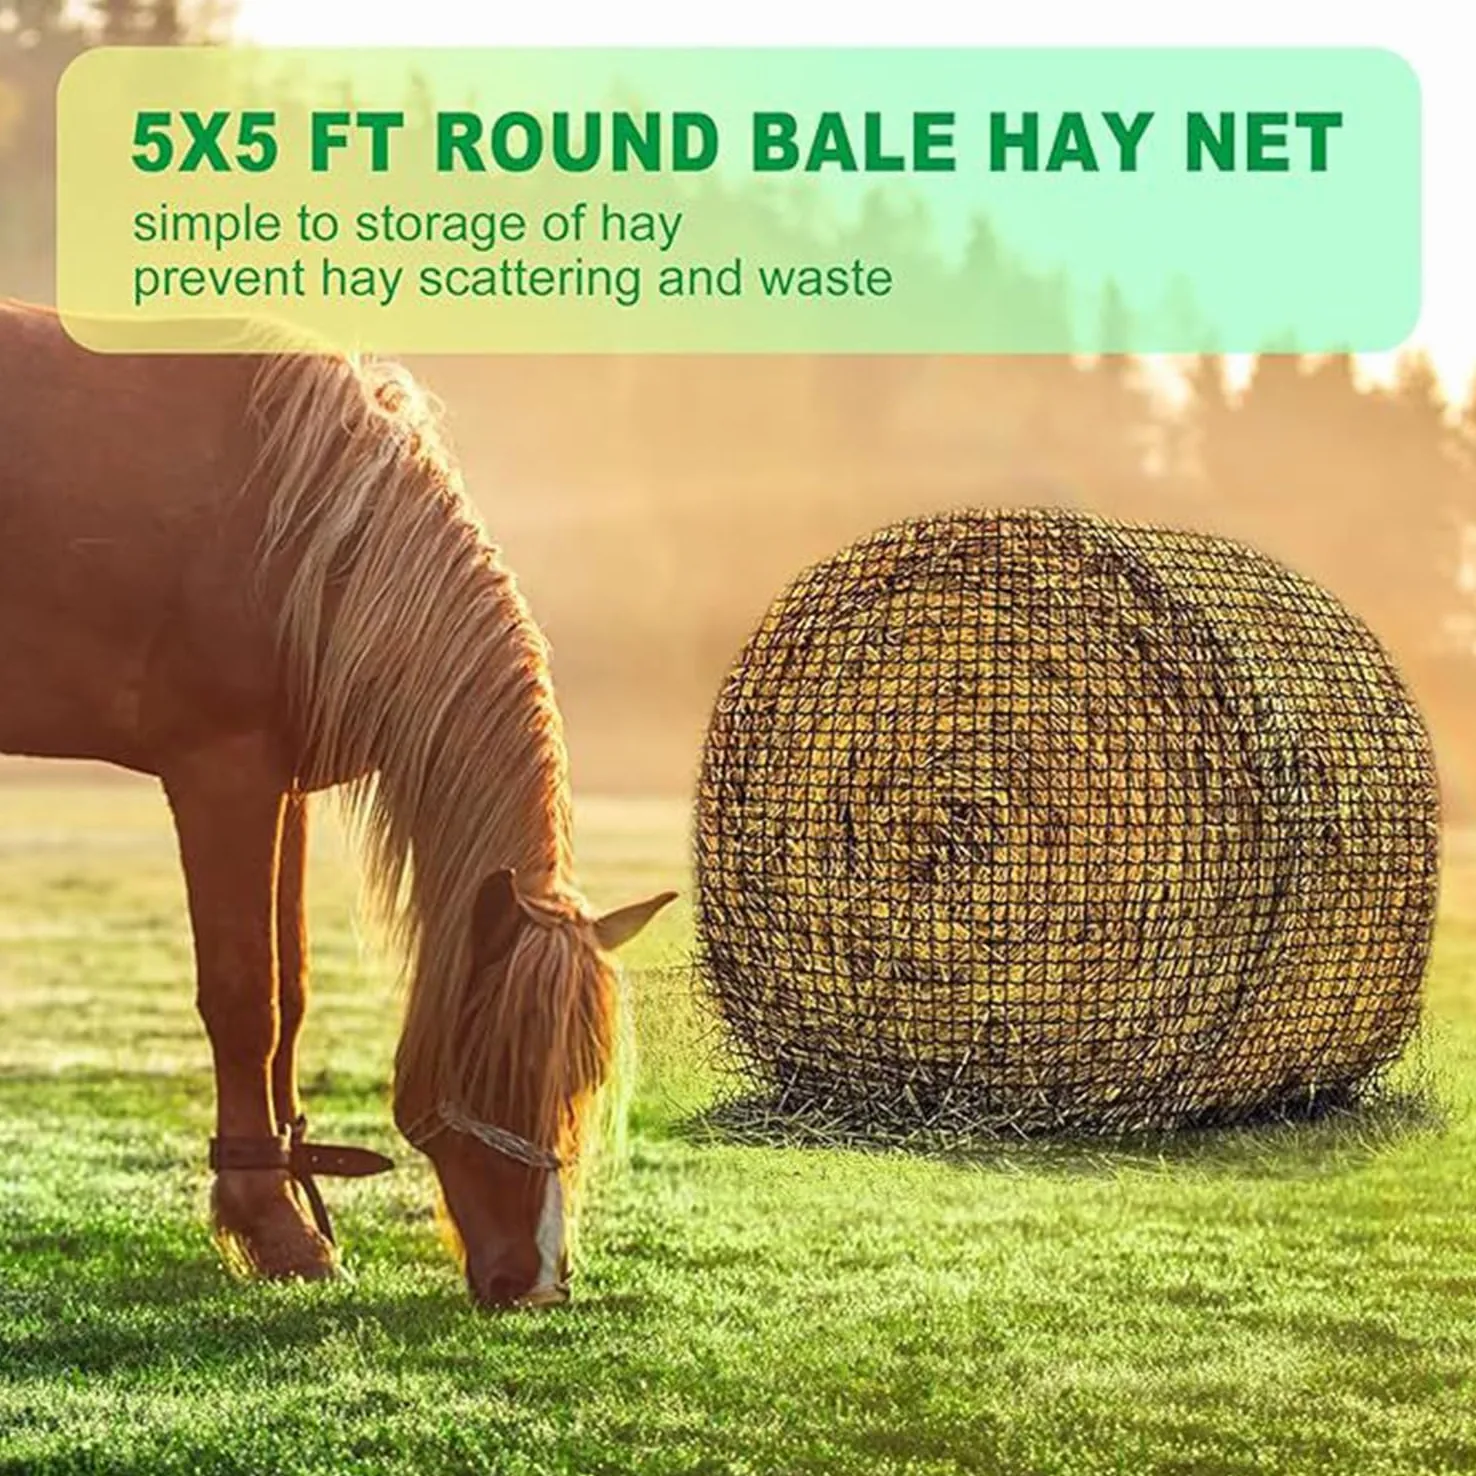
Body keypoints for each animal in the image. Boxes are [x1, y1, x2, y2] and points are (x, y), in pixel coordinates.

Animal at [0, 299, 675, 1308]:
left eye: (584, 1076)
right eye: (503, 1064)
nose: (537, 1280)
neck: (307, 533)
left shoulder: (282, 787)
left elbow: (293, 995)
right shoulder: (224, 770)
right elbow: (247, 999)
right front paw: (276, 1228)